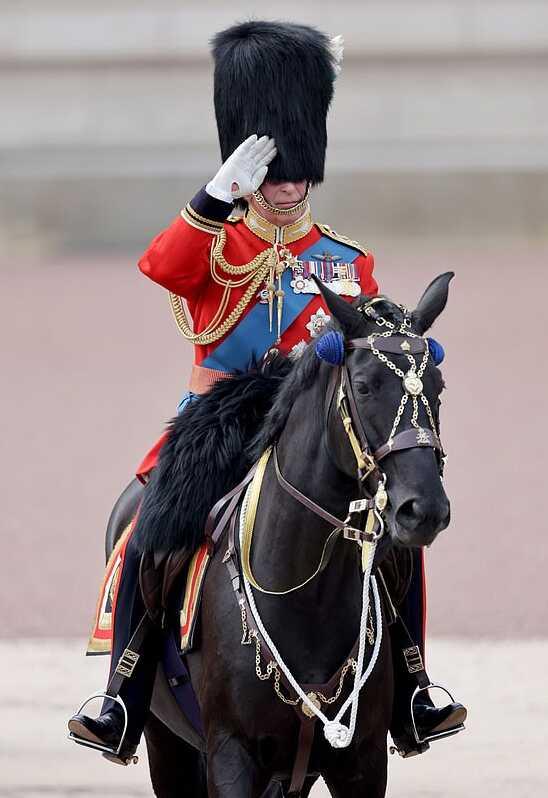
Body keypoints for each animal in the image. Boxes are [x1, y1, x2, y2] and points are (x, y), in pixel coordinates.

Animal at [105, 276, 452, 798]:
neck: (306, 594)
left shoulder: (362, 760)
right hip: (165, 742)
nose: (424, 509)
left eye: (438, 386)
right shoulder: (231, 755)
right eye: (364, 386)